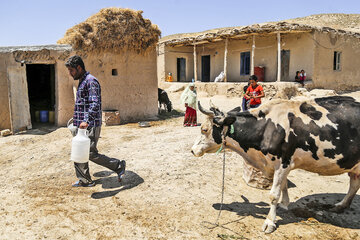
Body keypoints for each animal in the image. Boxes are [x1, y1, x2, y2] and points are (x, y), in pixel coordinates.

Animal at [191, 95, 360, 232]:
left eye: (204, 129)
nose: (193, 150)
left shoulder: (283, 163)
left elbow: (273, 194)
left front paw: (269, 222)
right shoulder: (277, 165)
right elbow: (283, 186)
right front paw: (284, 204)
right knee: (354, 184)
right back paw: (340, 206)